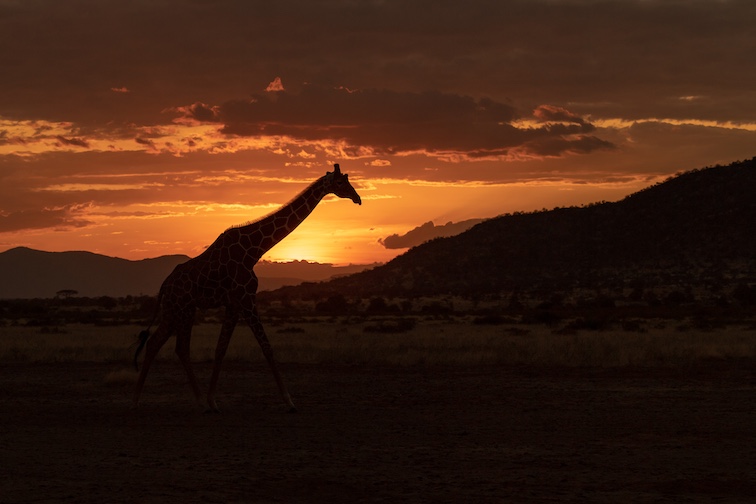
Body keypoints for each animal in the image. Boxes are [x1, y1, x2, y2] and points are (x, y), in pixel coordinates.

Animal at [133, 163, 360, 412]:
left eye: (347, 179)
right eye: (340, 182)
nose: (358, 198)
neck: (254, 250)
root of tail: (165, 285)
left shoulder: (234, 303)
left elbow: (221, 348)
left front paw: (213, 400)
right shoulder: (246, 298)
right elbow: (266, 346)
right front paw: (289, 400)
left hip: (177, 310)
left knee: (160, 344)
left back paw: (156, 398)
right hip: (181, 310)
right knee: (173, 346)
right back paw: (160, 400)